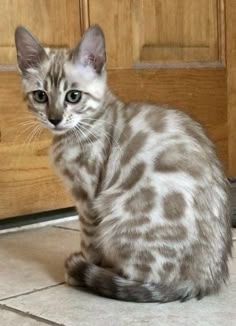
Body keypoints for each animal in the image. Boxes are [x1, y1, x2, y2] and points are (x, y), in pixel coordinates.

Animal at [15, 24, 232, 302]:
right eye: (40, 96)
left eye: (73, 96)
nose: (55, 118)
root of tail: (203, 280)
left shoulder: (88, 198)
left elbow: (89, 241)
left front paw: (84, 266)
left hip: (117, 211)